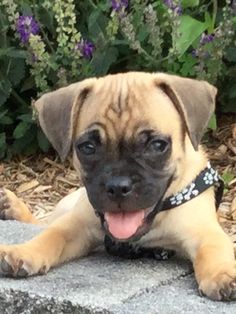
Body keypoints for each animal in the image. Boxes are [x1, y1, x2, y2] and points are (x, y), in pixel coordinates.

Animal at [0, 72, 236, 302]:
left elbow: (214, 249)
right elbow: (51, 235)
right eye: (87, 147)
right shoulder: (76, 224)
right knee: (43, 223)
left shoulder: (204, 232)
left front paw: (223, 274)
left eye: (158, 145)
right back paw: (12, 207)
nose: (118, 186)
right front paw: (24, 252)